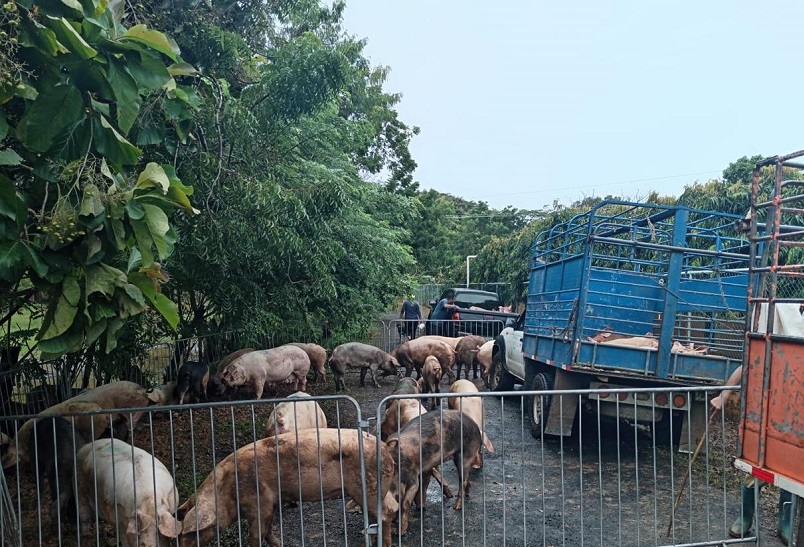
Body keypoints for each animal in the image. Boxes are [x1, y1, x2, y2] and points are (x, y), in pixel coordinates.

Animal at [178, 430, 398, 544]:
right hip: (375, 489)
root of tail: (386, 448)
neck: (226, 492)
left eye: (192, 533)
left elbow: (257, 534)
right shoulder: (272, 502)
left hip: (367, 488)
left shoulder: (259, 502)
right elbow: (268, 531)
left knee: (384, 514)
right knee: (389, 509)